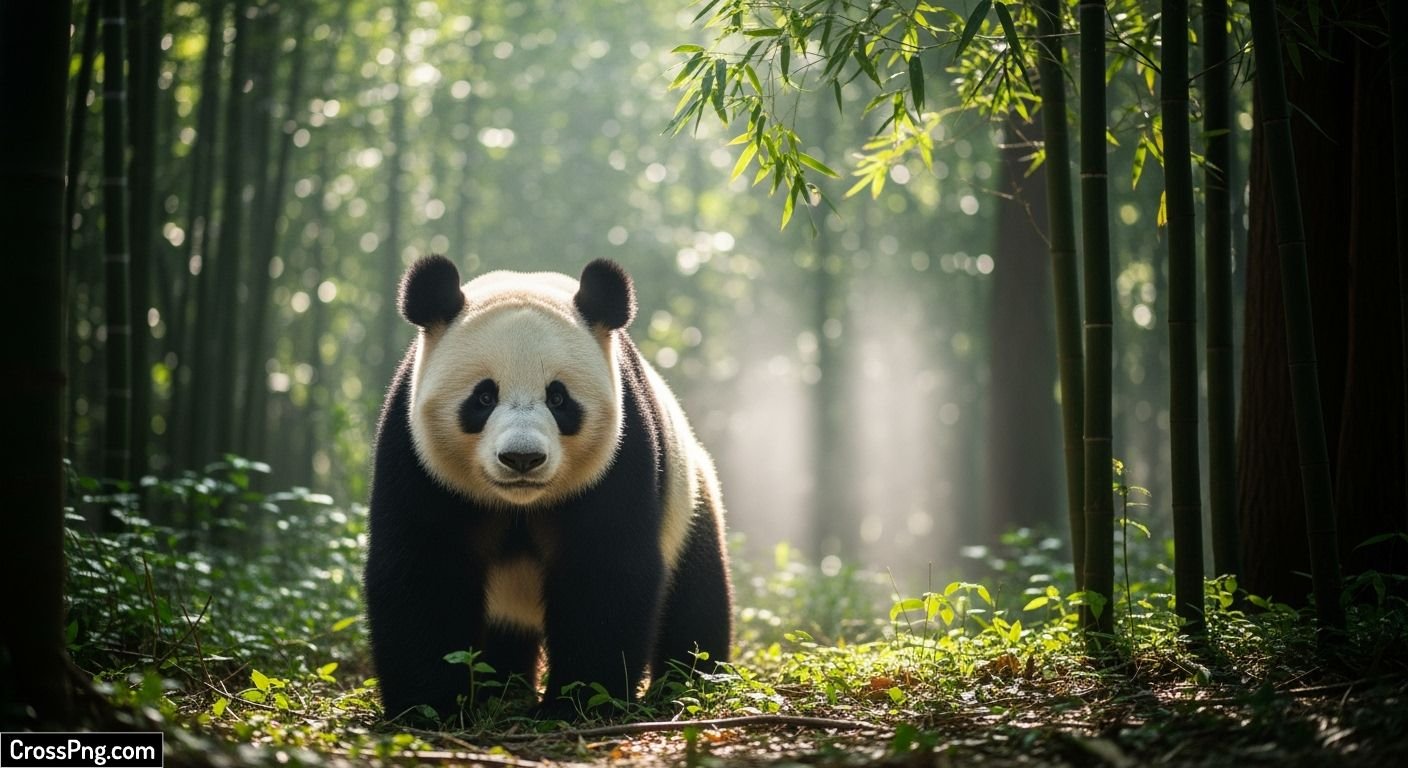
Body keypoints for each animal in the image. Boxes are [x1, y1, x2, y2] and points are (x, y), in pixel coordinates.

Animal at [364, 255, 733, 720]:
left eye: (558, 399)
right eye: (483, 398)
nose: (522, 459)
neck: (519, 502)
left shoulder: (620, 458)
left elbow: (604, 572)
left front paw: (579, 703)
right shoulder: (417, 458)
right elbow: (424, 569)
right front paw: (428, 706)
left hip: (690, 503)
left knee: (696, 602)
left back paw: (690, 682)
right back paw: (503, 689)